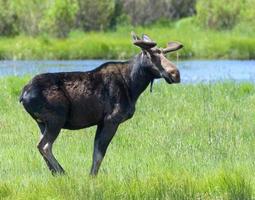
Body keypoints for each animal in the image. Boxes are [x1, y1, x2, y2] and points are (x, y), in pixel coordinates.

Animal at [19, 32, 183, 176]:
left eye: (165, 54)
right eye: (150, 55)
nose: (175, 74)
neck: (133, 85)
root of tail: (23, 95)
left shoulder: (100, 122)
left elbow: (95, 152)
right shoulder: (111, 119)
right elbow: (99, 154)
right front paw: (92, 177)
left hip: (42, 123)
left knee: (41, 145)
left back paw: (56, 173)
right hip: (56, 119)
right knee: (45, 146)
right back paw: (63, 173)